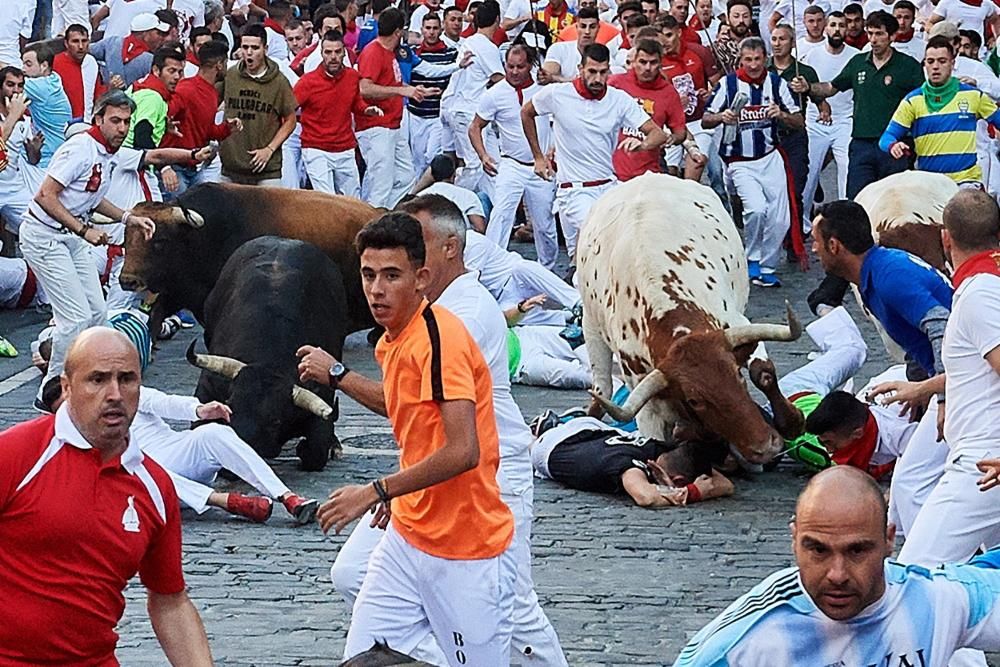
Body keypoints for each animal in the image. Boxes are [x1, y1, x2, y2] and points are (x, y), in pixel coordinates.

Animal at [120, 183, 378, 336]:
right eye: (125, 240)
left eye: (160, 241)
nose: (127, 280)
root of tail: (375, 213)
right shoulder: (179, 290)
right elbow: (154, 320)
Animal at [576, 174, 800, 464]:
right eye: (695, 400)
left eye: (736, 376)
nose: (766, 447)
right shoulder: (647, 400)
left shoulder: (735, 322)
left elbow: (762, 372)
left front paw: (793, 421)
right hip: (591, 326)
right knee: (602, 386)